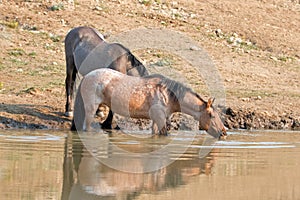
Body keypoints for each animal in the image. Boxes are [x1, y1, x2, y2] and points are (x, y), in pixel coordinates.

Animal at [71, 68, 227, 138]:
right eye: (212, 115)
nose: (224, 132)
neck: (167, 94)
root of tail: (87, 76)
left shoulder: (156, 120)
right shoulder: (160, 118)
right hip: (91, 110)